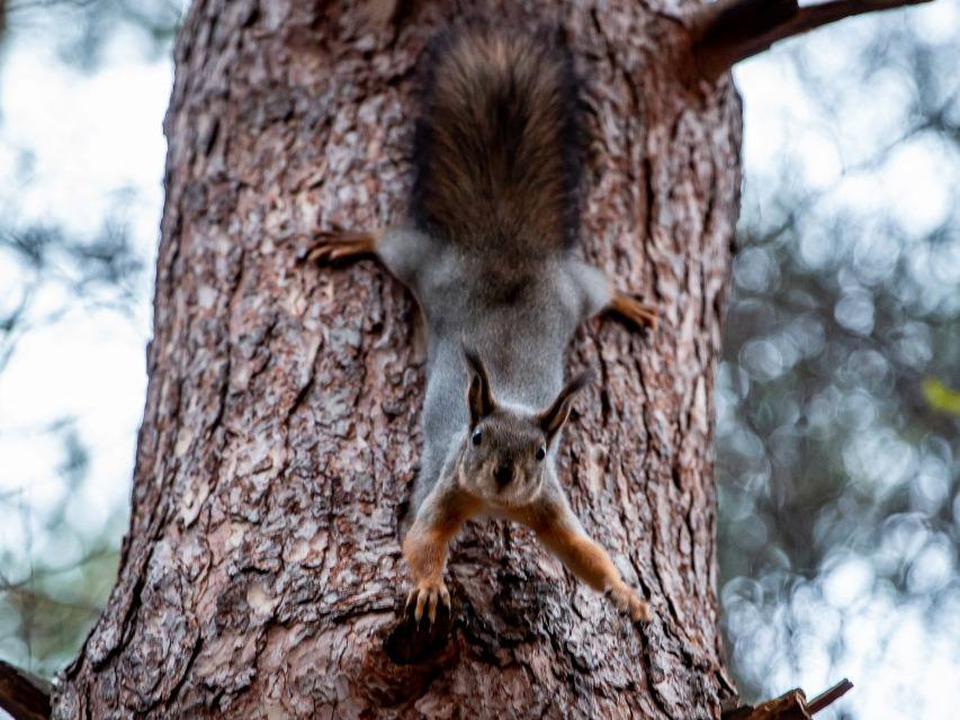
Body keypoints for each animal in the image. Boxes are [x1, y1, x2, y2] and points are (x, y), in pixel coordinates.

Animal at [312, 26, 656, 624]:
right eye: (476, 436)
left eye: (540, 452)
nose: (502, 474)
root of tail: (504, 248)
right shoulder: (448, 483)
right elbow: (422, 539)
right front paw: (429, 586)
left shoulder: (548, 502)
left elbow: (584, 554)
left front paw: (626, 594)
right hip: (430, 267)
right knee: (391, 242)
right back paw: (353, 239)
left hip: (573, 290)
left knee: (600, 286)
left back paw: (627, 304)